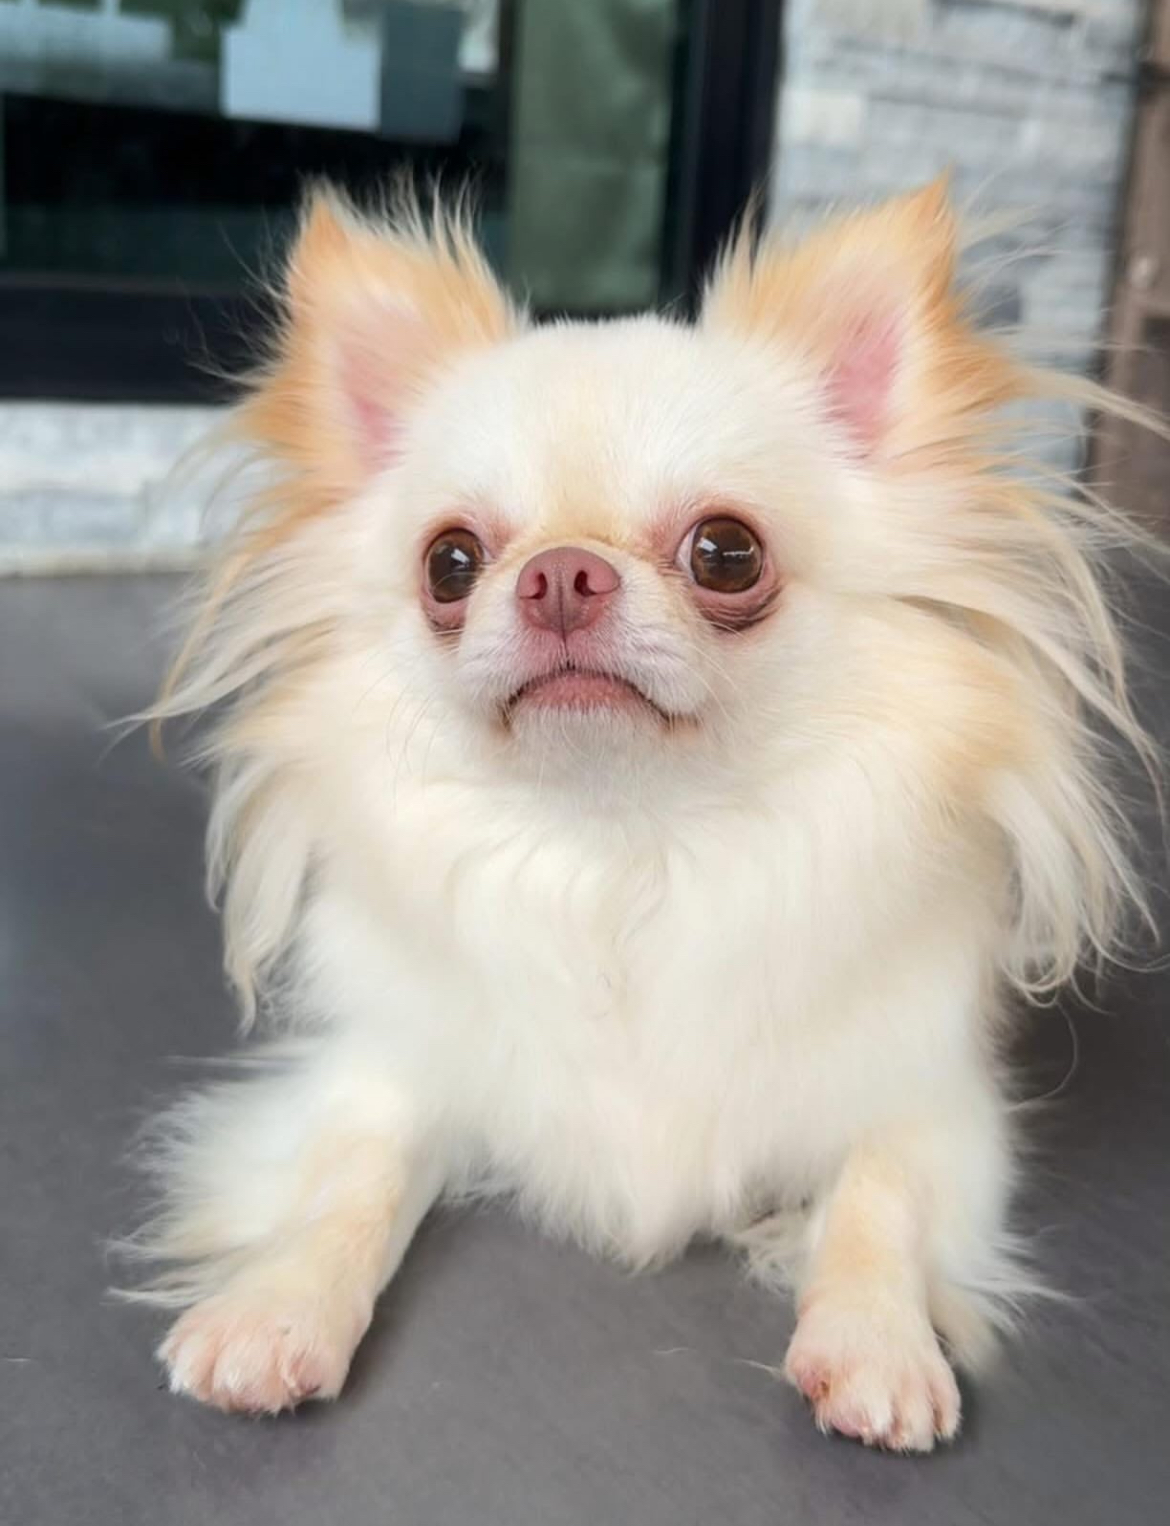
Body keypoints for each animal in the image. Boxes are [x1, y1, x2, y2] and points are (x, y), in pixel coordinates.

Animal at [127, 178, 1155, 1451]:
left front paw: (875, 1338)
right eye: (450, 563)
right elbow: (345, 1182)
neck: (626, 843)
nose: (562, 571)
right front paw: (273, 1308)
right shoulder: (386, 1069)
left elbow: (879, 1195)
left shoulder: (932, 1104)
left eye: (726, 552)